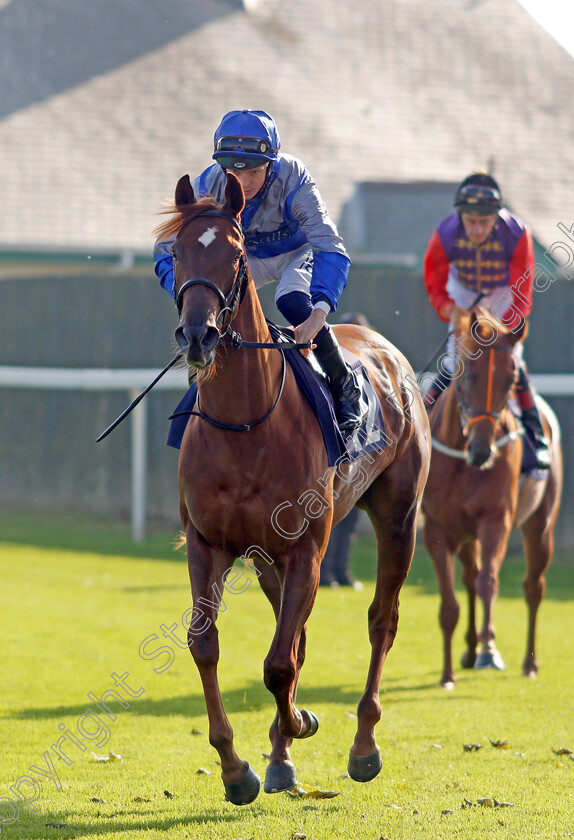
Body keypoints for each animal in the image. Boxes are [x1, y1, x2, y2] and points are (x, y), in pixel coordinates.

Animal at [154, 172, 432, 808]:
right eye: (176, 253)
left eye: (235, 254)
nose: (199, 336)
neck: (245, 425)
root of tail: (385, 349)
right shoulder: (210, 543)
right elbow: (207, 645)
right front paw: (239, 767)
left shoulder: (308, 546)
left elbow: (279, 664)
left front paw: (296, 725)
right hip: (264, 559)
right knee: (297, 634)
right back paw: (282, 756)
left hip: (398, 516)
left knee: (381, 621)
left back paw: (363, 745)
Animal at [424, 310, 564, 688]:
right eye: (466, 374)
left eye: (511, 378)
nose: (482, 450)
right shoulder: (436, 528)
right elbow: (449, 604)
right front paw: (447, 674)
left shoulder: (495, 519)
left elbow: (489, 582)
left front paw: (489, 651)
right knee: (469, 577)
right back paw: (469, 650)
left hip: (540, 526)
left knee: (532, 587)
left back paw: (528, 662)